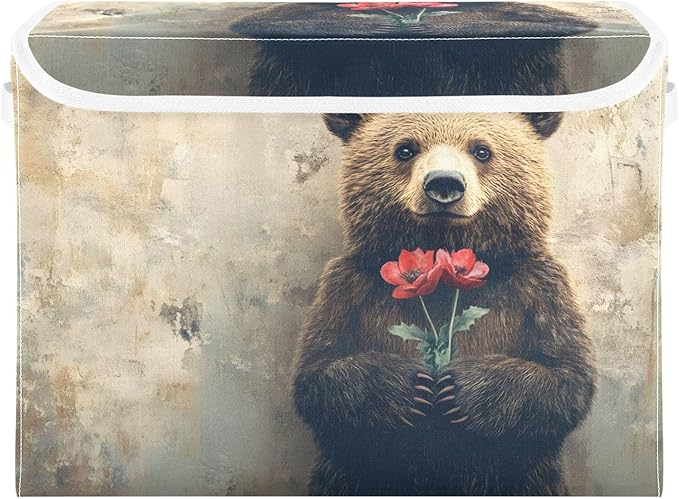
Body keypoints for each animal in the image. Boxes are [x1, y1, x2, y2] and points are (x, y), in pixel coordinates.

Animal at [291, 112, 596, 495]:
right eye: (405, 149)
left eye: (482, 150)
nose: (445, 184)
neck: (442, 255)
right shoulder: (349, 286)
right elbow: (317, 373)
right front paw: (413, 387)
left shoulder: (538, 286)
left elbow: (567, 377)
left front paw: (458, 389)